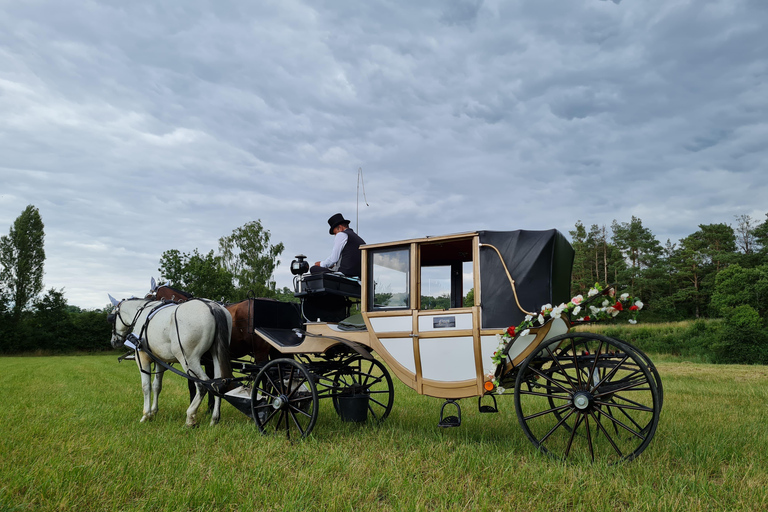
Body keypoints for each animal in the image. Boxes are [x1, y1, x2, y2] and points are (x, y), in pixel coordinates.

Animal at [108, 296, 232, 428]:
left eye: (111, 318)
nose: (114, 341)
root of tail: (213, 306)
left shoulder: (142, 358)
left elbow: (146, 387)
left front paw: (146, 415)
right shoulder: (160, 361)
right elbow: (157, 386)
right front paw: (154, 412)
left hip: (189, 359)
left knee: (202, 385)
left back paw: (190, 417)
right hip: (216, 355)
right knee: (217, 383)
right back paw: (214, 419)